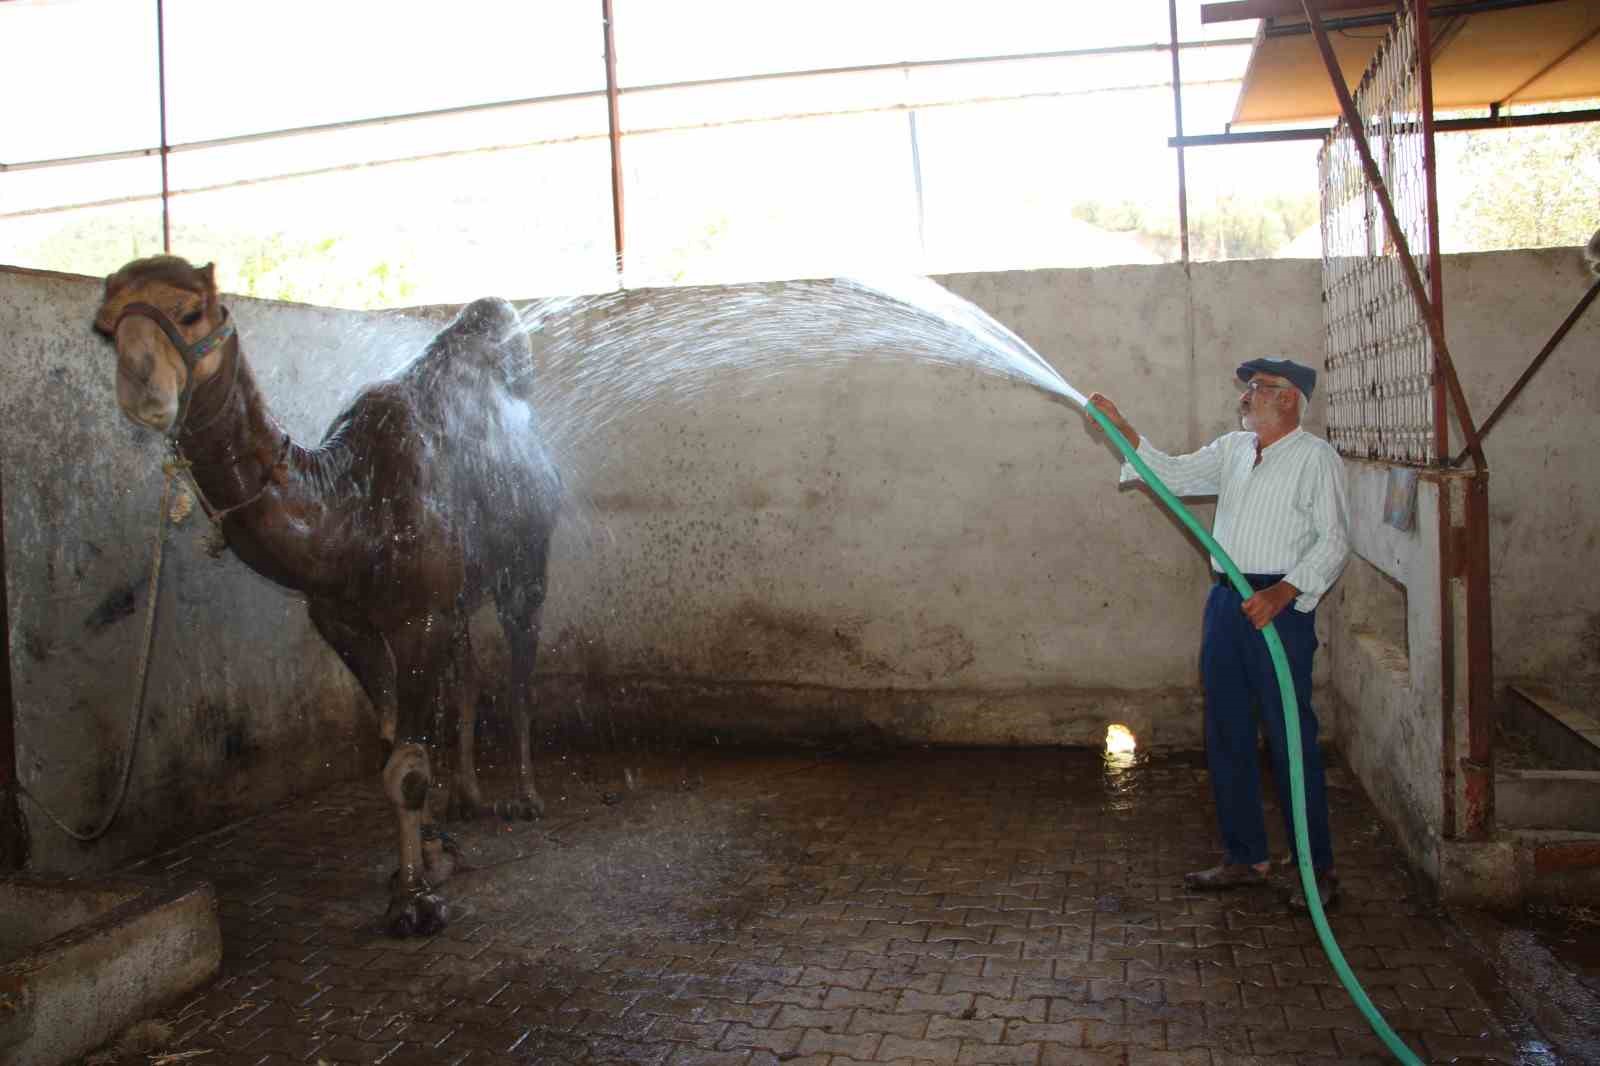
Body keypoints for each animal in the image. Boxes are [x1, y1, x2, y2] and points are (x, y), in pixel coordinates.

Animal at [93, 257, 560, 928]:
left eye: (191, 310)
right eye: (105, 328)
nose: (141, 388)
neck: (349, 506)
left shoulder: (418, 621)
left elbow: (407, 767)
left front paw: (414, 901)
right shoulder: (346, 622)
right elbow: (392, 744)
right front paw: (431, 852)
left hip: (525, 562)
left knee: (521, 671)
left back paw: (524, 797)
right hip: (462, 594)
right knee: (469, 675)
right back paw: (466, 798)